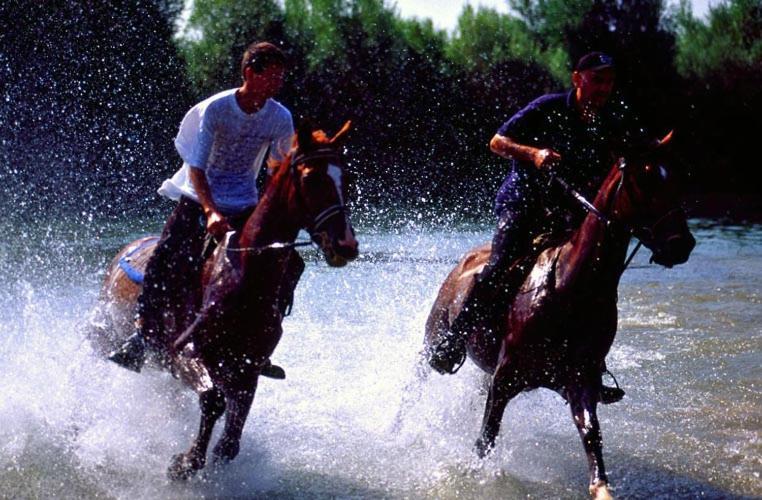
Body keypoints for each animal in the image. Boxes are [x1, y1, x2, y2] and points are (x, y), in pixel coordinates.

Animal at [90, 120, 360, 480]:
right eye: (311, 179)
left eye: (346, 179)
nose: (346, 244)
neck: (244, 279)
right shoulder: (185, 355)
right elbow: (213, 401)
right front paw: (185, 463)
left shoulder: (247, 367)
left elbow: (230, 439)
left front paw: (208, 460)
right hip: (104, 339)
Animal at [422, 134, 696, 500]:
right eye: (644, 182)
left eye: (676, 179)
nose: (682, 245)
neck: (572, 290)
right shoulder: (504, 378)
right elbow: (485, 438)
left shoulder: (579, 379)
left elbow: (591, 433)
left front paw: (601, 488)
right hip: (432, 340)